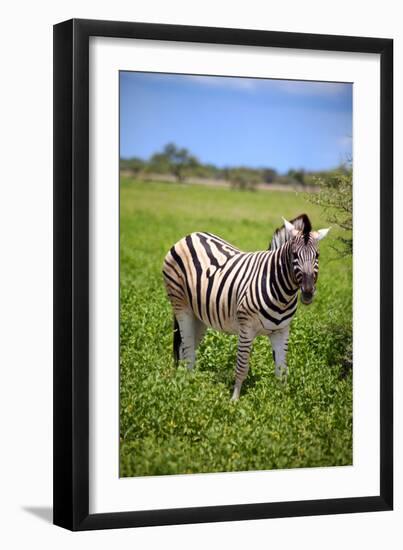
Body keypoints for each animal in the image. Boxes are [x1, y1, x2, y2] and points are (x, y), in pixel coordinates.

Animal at [163, 215, 330, 402]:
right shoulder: (246, 328)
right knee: (187, 350)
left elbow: (281, 371)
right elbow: (242, 367)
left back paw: (186, 383)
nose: (308, 292)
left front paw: (282, 402)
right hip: (181, 304)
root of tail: (189, 236)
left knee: (185, 349)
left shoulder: (282, 331)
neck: (279, 290)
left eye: (317, 255)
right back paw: (187, 388)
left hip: (198, 315)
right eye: (294, 255)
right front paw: (234, 401)